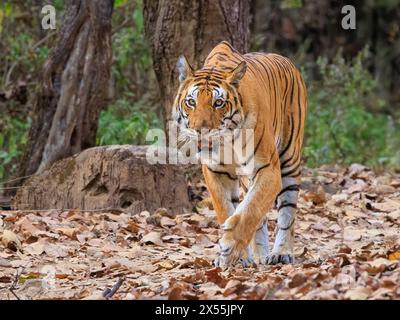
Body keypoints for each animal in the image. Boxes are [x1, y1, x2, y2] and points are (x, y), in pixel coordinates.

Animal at [171, 40, 306, 268]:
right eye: (191, 102)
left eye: (218, 103)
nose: (201, 130)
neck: (227, 141)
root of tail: (287, 61)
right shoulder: (216, 172)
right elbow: (227, 209)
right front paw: (237, 256)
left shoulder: (268, 169)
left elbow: (250, 210)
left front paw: (231, 246)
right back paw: (259, 255)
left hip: (289, 159)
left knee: (287, 213)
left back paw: (281, 253)